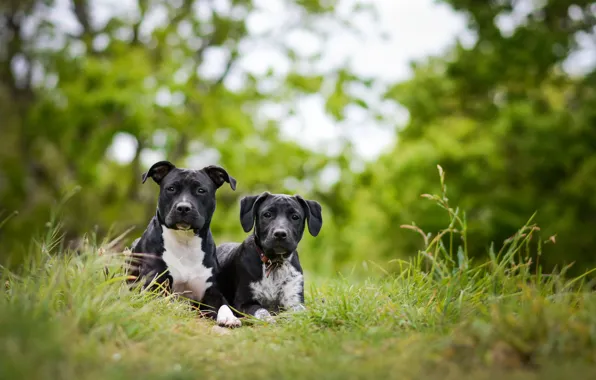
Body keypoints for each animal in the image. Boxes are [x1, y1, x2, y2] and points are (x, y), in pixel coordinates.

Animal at [129, 159, 241, 328]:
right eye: (171, 188)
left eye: (201, 190)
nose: (183, 207)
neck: (185, 241)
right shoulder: (154, 285)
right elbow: (165, 301)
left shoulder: (211, 290)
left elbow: (223, 304)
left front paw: (229, 317)